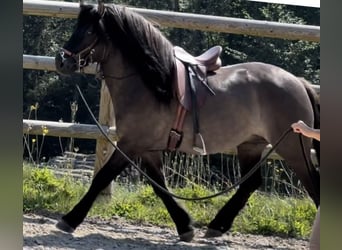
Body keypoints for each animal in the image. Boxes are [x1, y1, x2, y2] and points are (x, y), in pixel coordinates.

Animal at [54, 1, 320, 242]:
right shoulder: (148, 148)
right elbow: (159, 186)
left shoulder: (131, 144)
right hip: (251, 145)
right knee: (250, 184)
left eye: (89, 31)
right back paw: (217, 226)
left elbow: (102, 178)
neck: (152, 85)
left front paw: (69, 219)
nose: (61, 61)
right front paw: (185, 226)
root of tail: (298, 82)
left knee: (313, 185)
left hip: (293, 149)